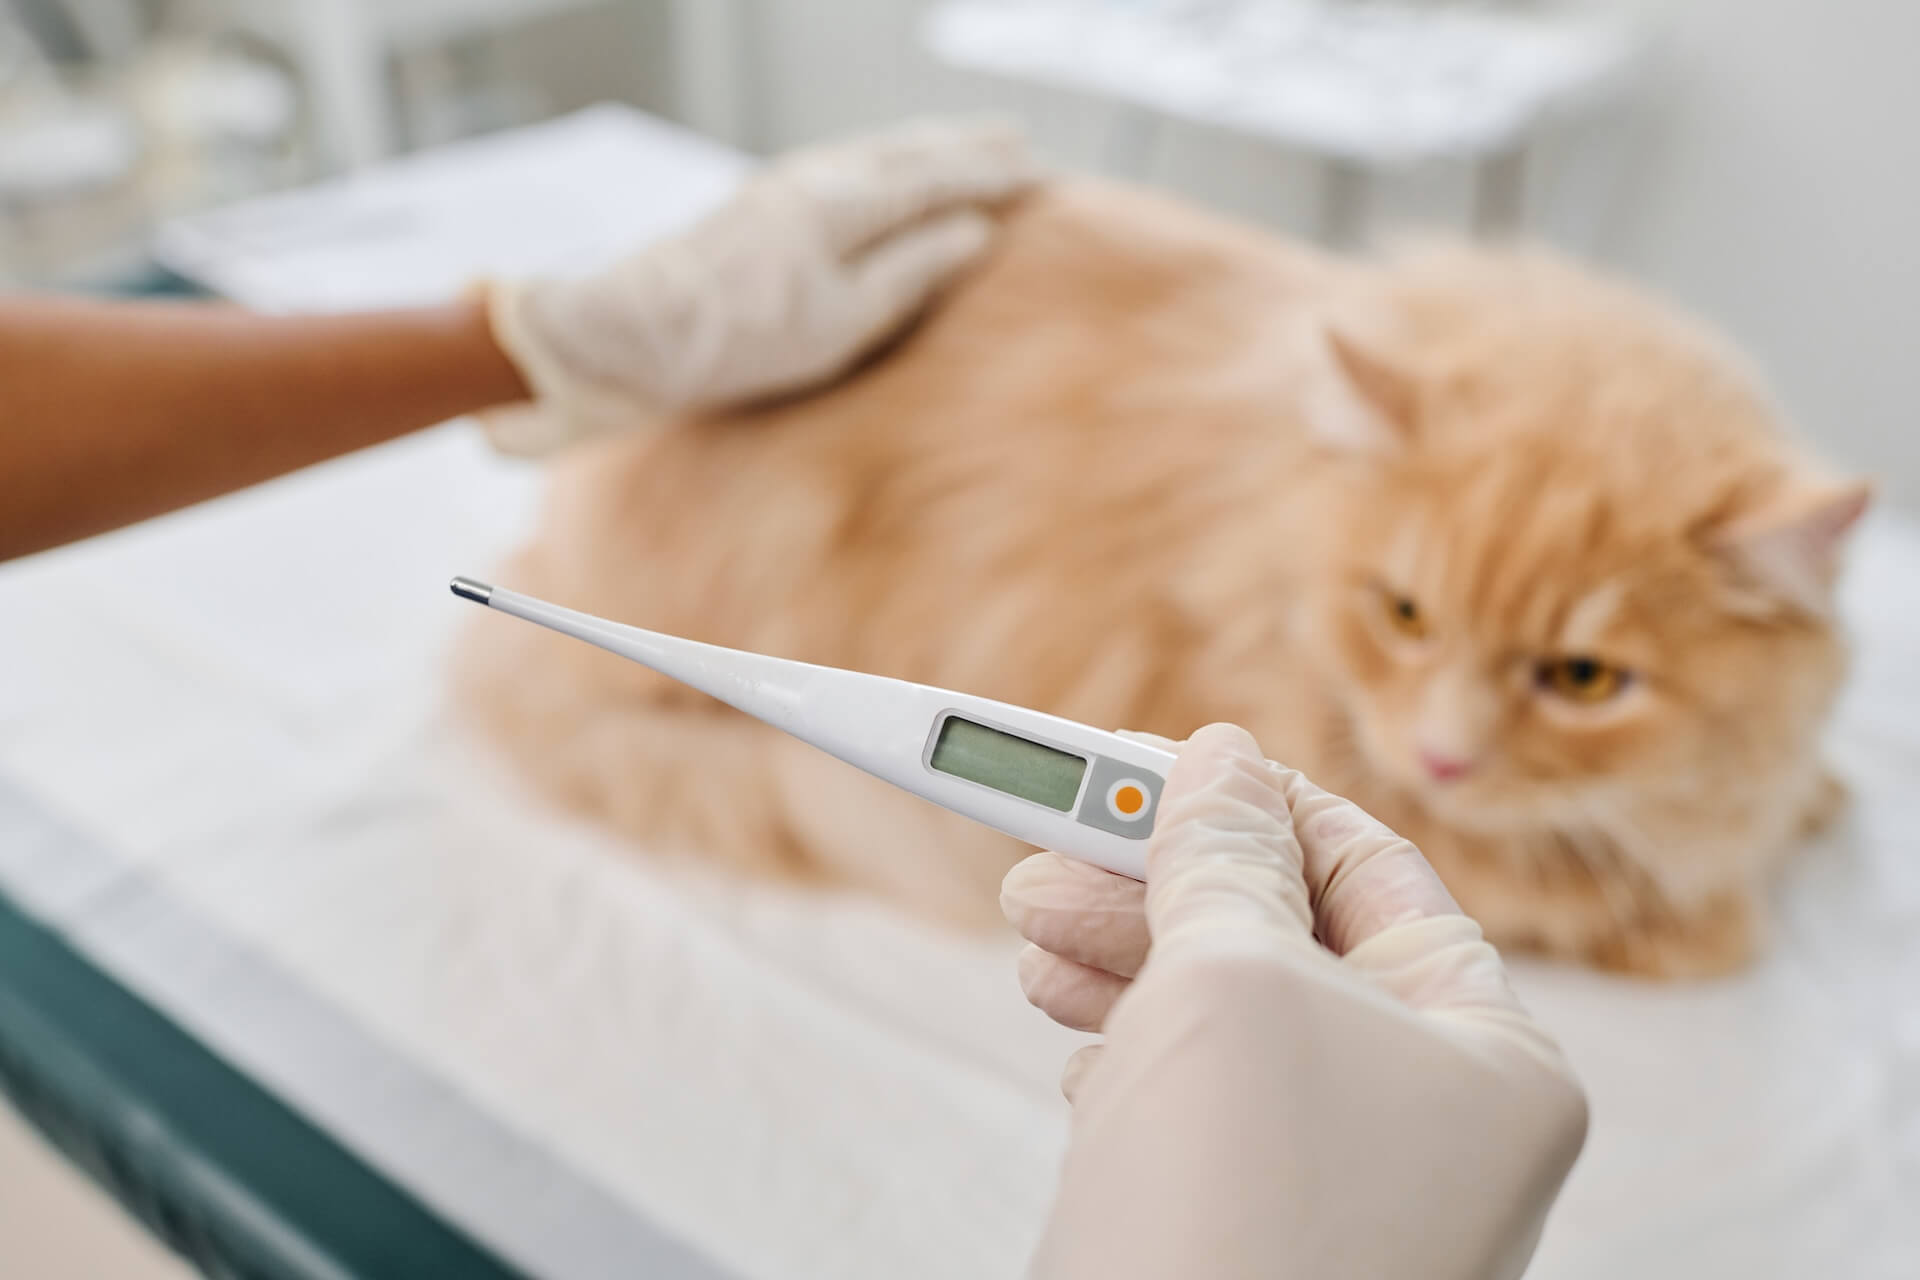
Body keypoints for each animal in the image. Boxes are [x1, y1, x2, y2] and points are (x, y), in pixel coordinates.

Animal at [456, 177, 1866, 982]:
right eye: (1404, 613)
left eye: (1583, 677)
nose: (1444, 756)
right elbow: (1601, 896)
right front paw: (1693, 910)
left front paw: (1800, 803)